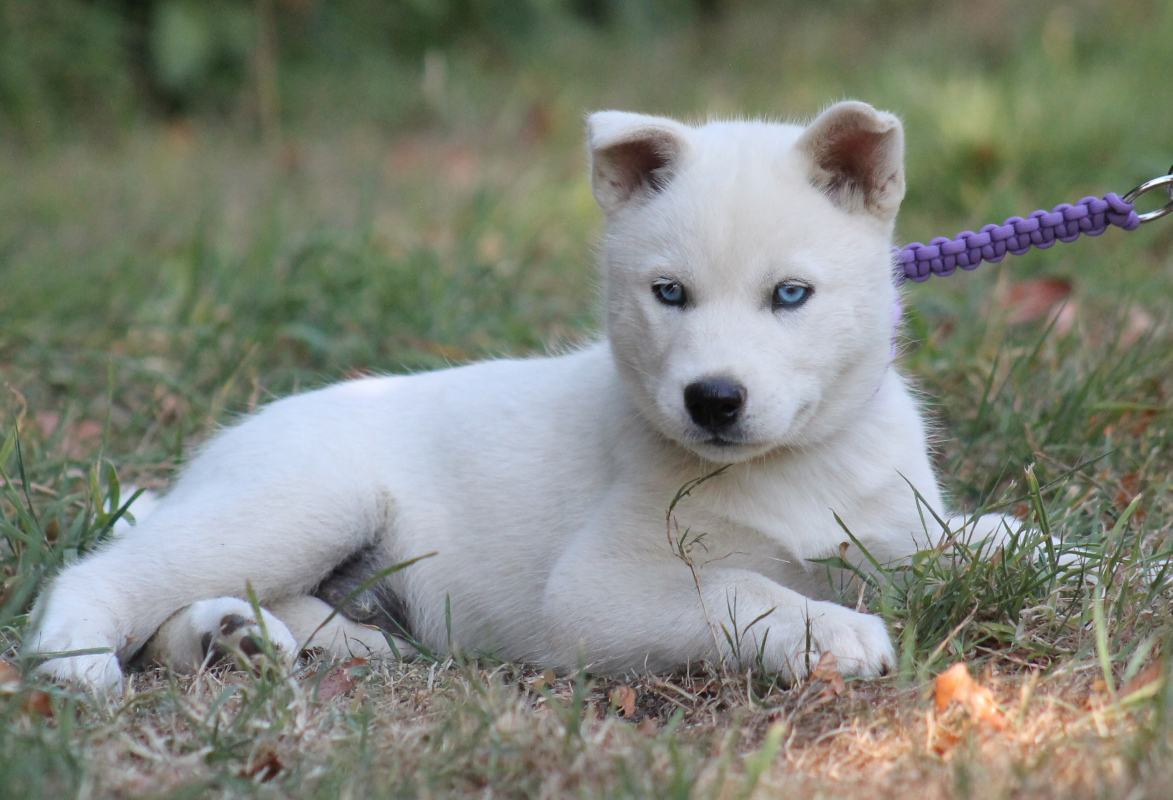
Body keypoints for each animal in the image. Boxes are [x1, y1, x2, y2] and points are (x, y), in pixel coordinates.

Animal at [26, 101, 1003, 693]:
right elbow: (738, 591)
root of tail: (213, 459)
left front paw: (1028, 546)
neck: (795, 467)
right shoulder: (596, 588)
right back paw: (79, 659)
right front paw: (829, 632)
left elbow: (976, 541)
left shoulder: (897, 531)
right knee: (111, 575)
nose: (712, 400)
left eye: (790, 295)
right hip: (298, 501)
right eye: (669, 294)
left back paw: (256, 636)